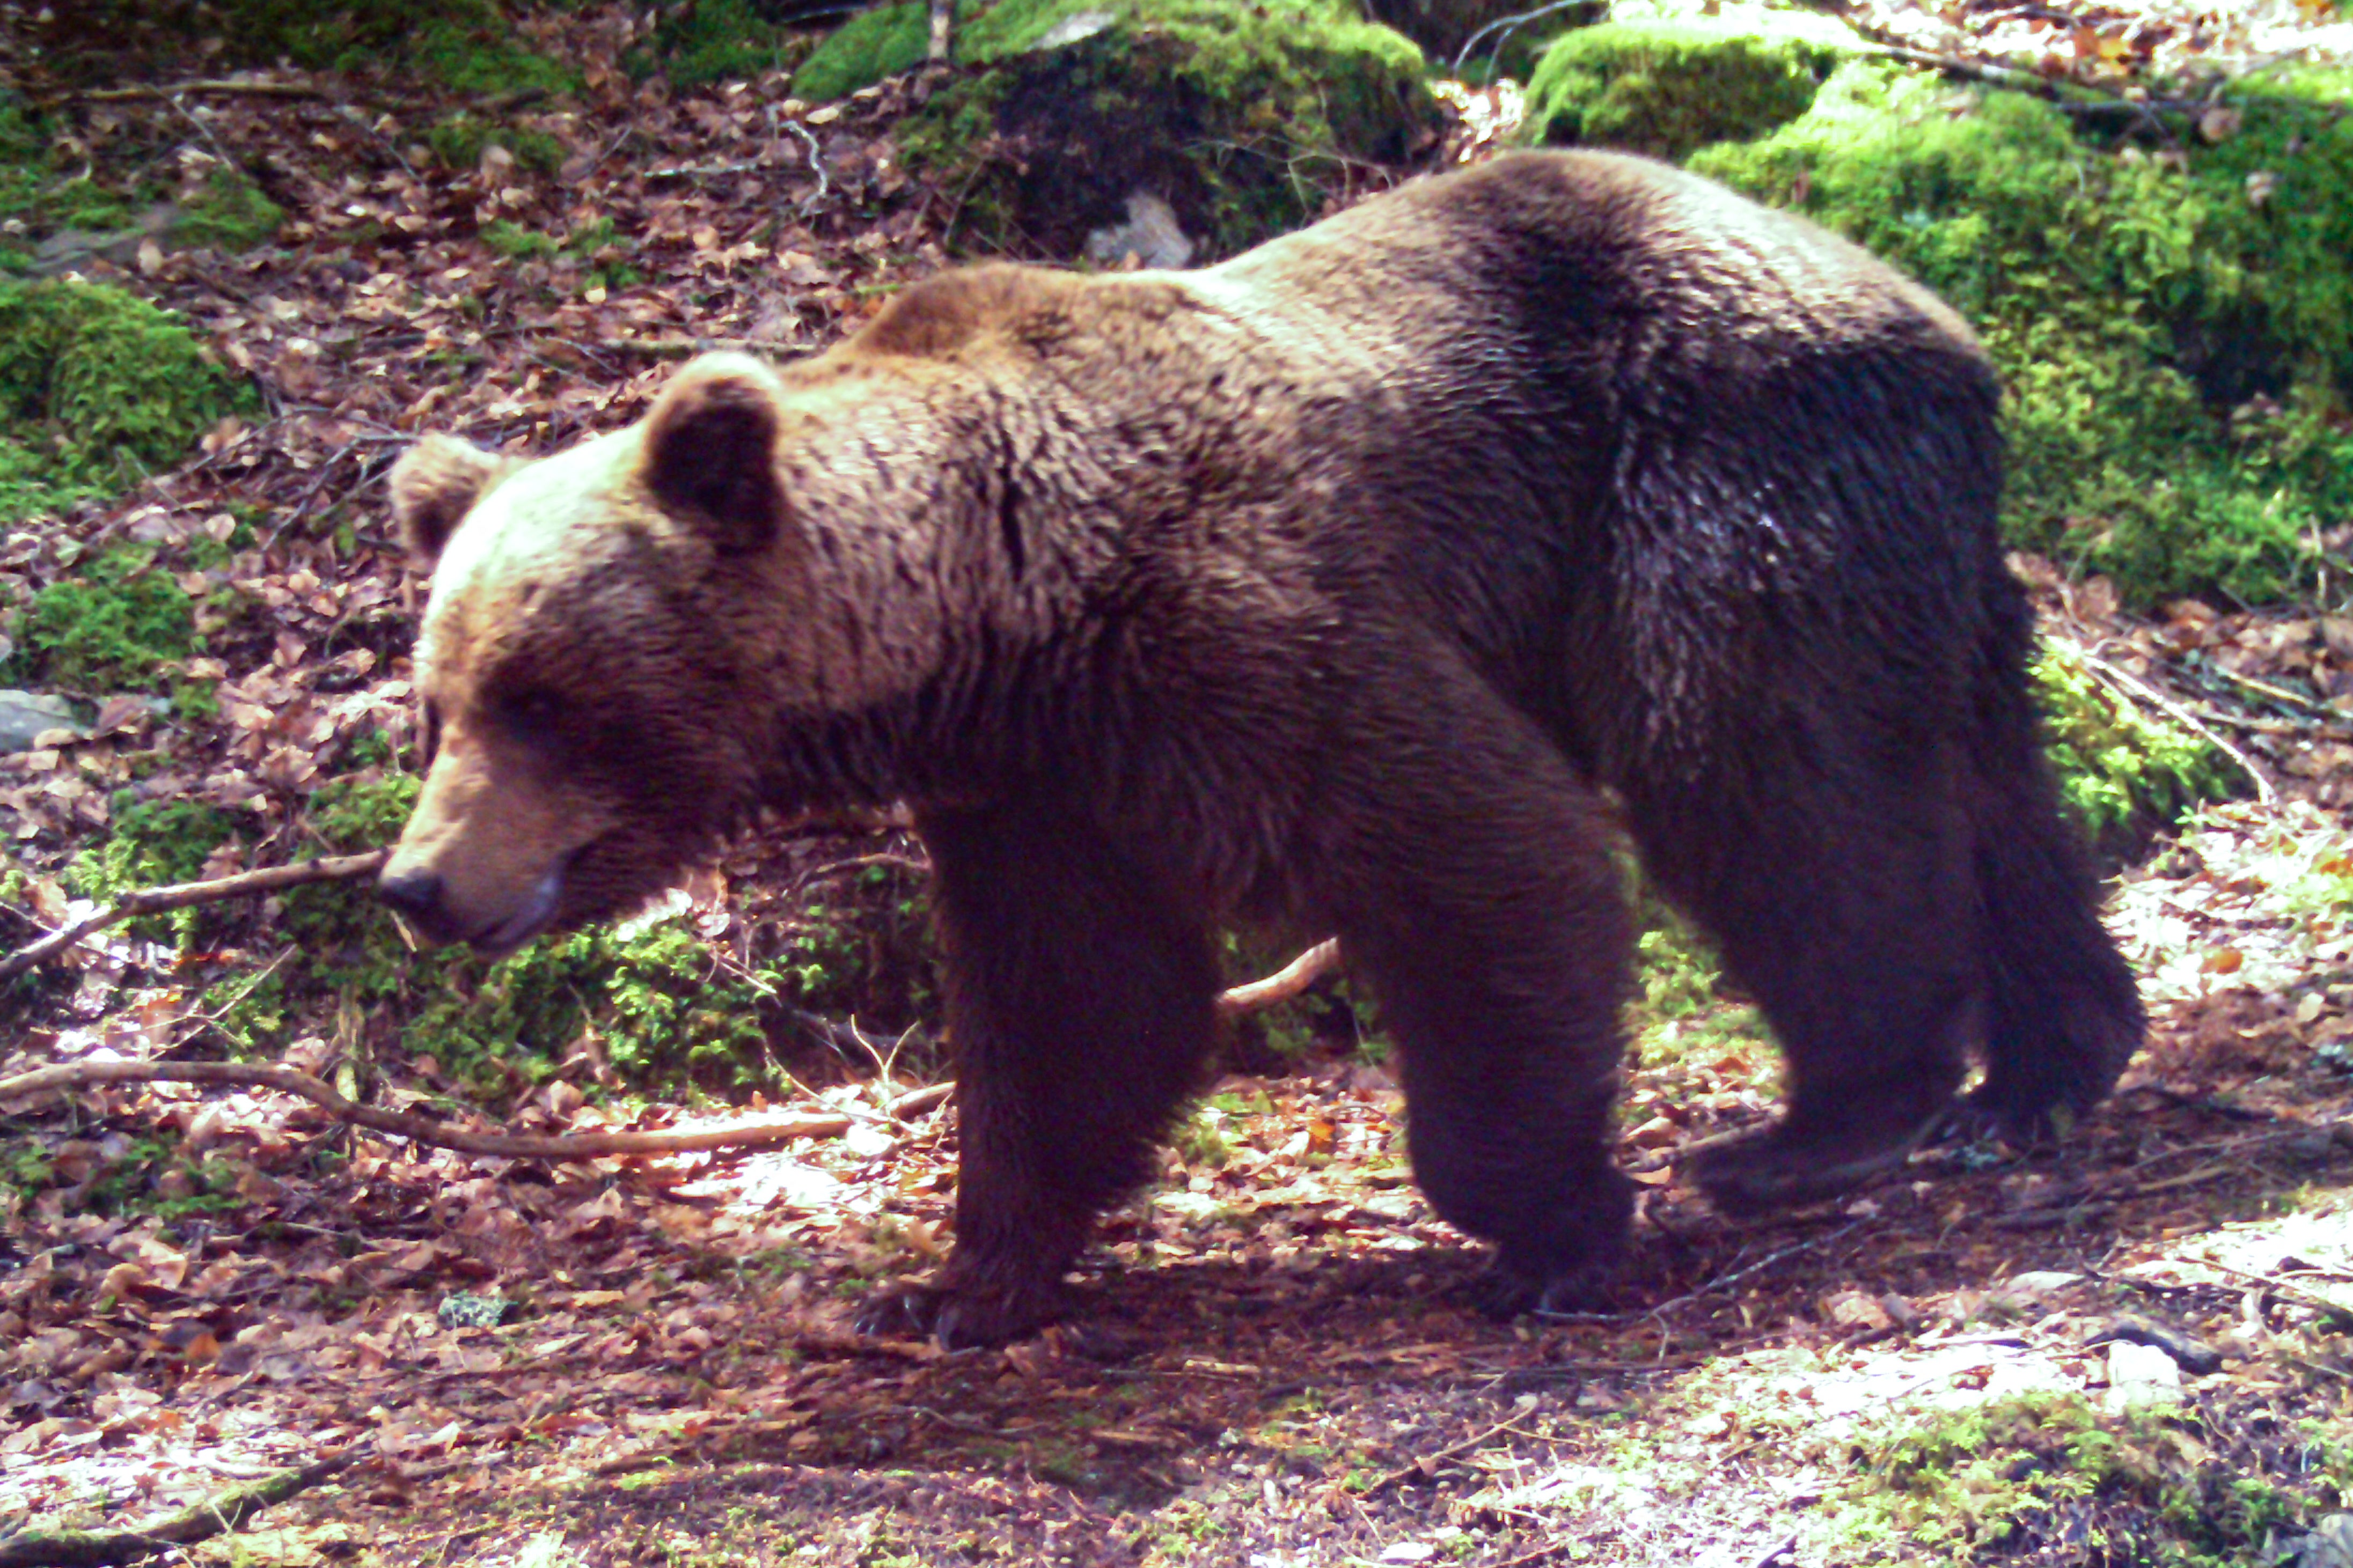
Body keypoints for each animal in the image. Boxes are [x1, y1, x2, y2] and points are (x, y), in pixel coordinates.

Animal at [376, 150, 2146, 1354]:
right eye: (439, 698)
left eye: (541, 694)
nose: (417, 881)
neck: (997, 607)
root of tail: (1939, 318)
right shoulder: (1039, 787)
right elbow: (1073, 1004)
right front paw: (952, 1282)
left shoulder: (1245, 628)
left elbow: (1489, 852)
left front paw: (1553, 1229)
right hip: (1903, 542)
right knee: (1980, 777)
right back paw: (2049, 1065)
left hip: (1716, 469)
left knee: (1758, 763)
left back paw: (1822, 1117)